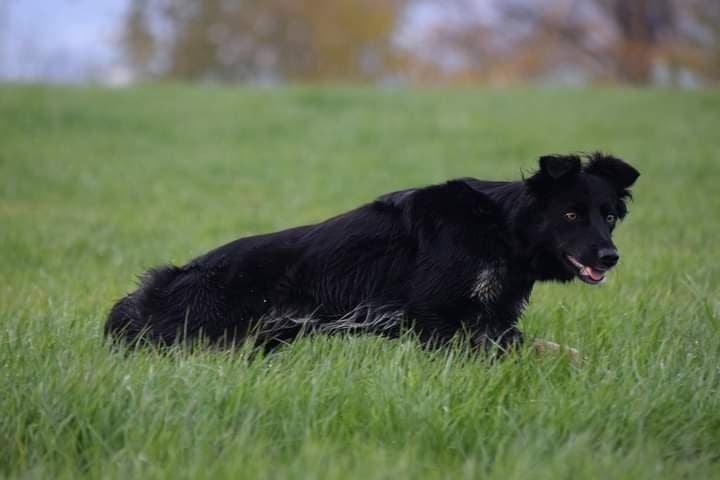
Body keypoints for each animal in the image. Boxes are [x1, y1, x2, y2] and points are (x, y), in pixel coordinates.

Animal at [105, 152, 636, 350]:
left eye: (608, 216)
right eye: (571, 215)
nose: (610, 257)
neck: (500, 229)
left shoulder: (492, 317)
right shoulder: (435, 318)